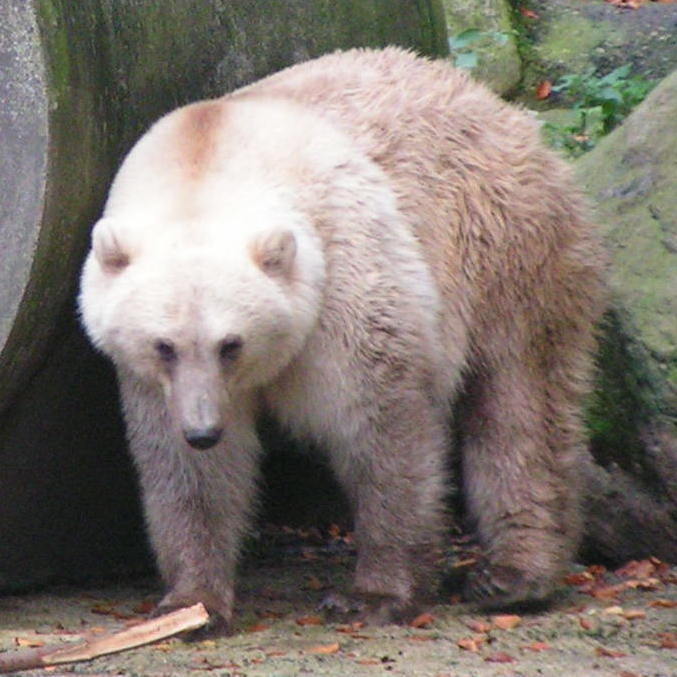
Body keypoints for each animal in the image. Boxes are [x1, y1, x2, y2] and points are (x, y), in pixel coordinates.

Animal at [80, 48, 608, 632]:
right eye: (164, 346)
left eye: (231, 343)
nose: (203, 429)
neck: (209, 158)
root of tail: (502, 108)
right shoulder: (151, 380)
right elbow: (188, 473)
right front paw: (192, 603)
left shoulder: (343, 275)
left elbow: (380, 427)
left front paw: (376, 594)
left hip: (505, 244)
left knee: (520, 401)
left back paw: (514, 575)